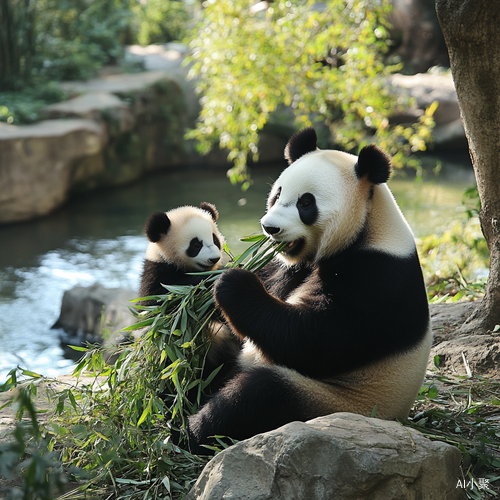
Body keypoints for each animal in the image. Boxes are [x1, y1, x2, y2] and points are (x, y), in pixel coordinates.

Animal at [187, 126, 430, 454]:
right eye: (277, 194)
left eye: (306, 203)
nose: (269, 228)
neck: (369, 226)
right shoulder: (289, 267)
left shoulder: (378, 278)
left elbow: (315, 339)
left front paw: (233, 282)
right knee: (210, 357)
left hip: (330, 402)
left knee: (258, 396)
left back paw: (188, 430)